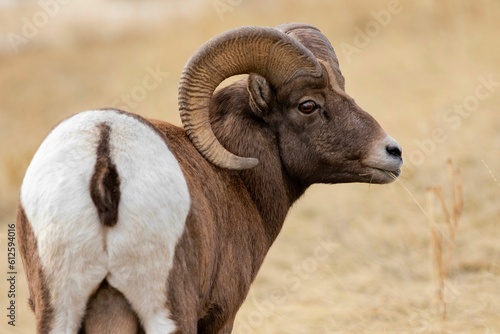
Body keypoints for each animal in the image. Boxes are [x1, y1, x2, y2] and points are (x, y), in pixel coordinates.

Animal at [17, 22, 404, 332]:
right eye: (307, 105)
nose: (392, 152)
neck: (240, 186)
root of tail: (105, 154)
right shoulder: (220, 314)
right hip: (168, 312)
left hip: (60, 312)